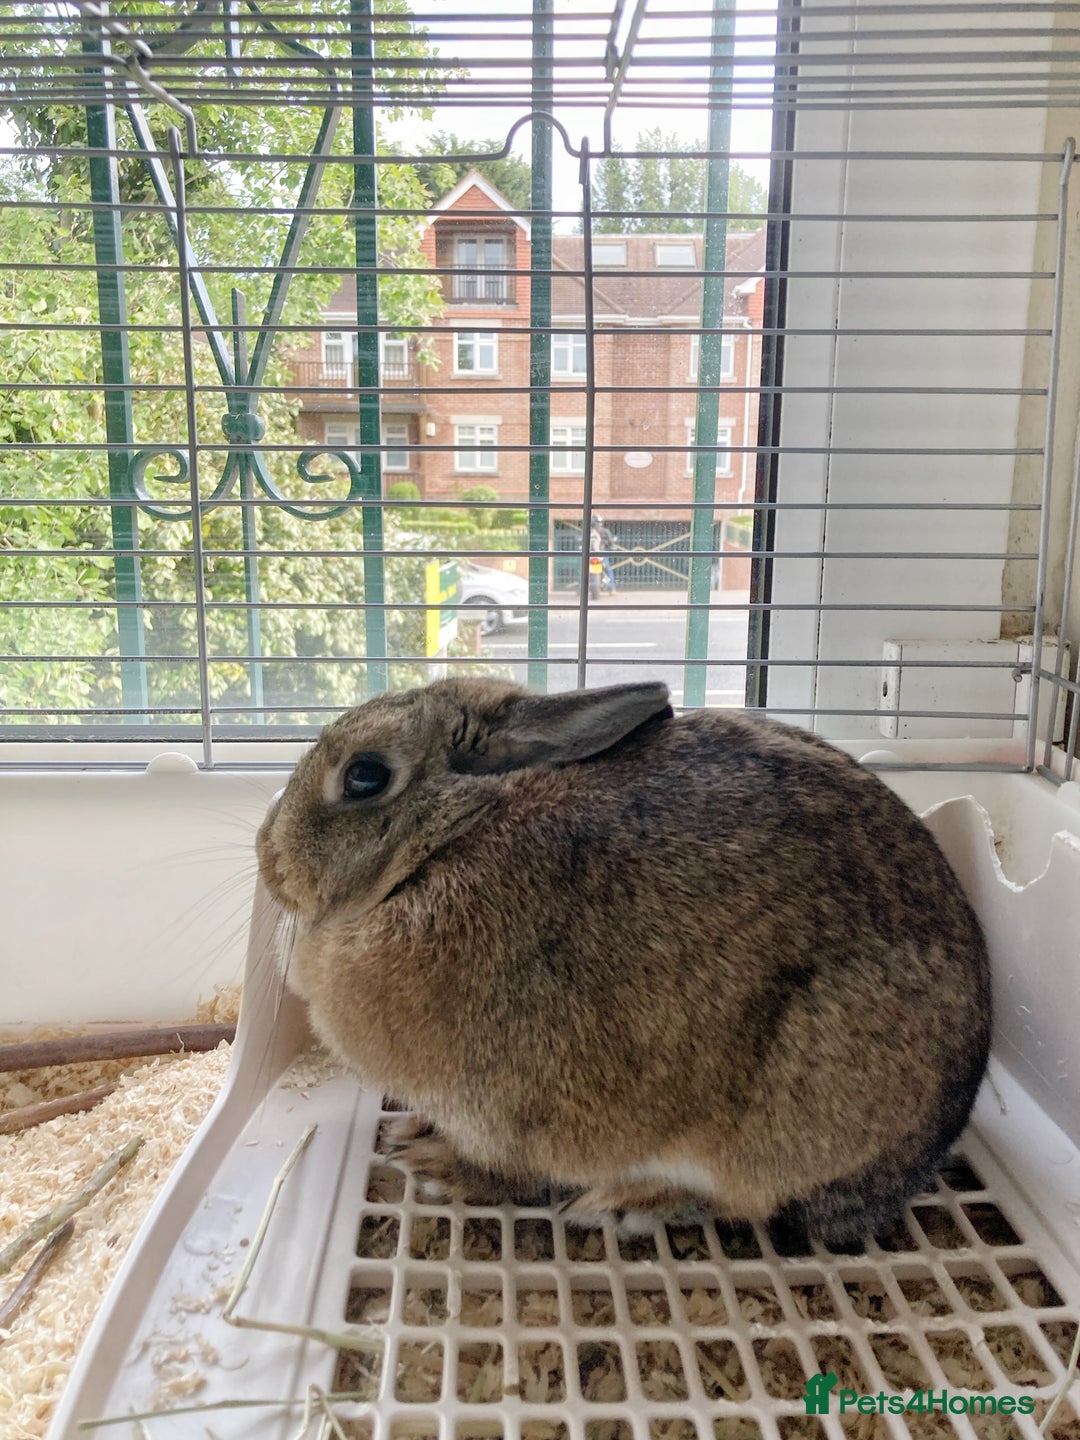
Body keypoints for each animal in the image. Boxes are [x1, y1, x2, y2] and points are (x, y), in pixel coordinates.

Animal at [256, 677, 991, 1246]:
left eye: (365, 776)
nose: (267, 856)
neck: (449, 840)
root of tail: (918, 1160)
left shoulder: (506, 1116)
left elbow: (507, 1174)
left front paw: (430, 1161)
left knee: (741, 1199)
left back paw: (623, 1205)